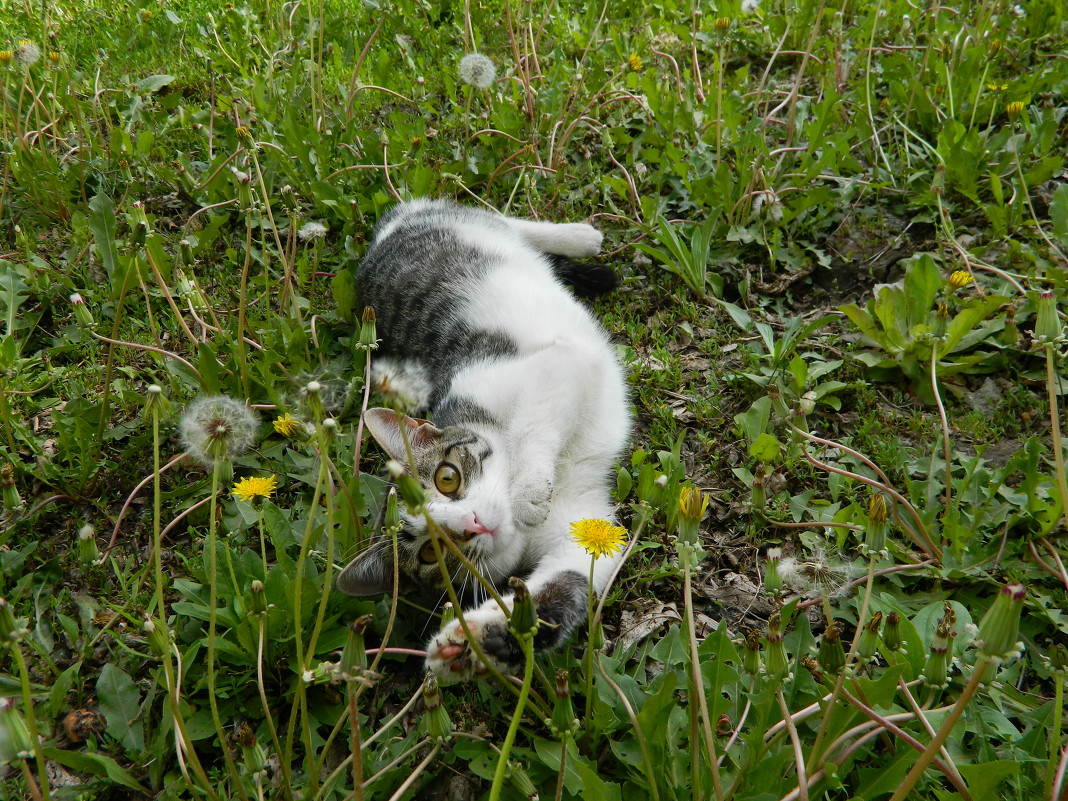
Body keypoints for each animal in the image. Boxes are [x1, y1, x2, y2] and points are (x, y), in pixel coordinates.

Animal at [337, 200, 627, 683]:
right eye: (431, 554)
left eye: (447, 478)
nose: (472, 524)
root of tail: (382, 234)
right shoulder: (584, 529)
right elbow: (567, 583)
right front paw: (476, 641)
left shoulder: (552, 362)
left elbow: (534, 421)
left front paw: (528, 492)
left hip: (463, 225)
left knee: (499, 219)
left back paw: (579, 238)